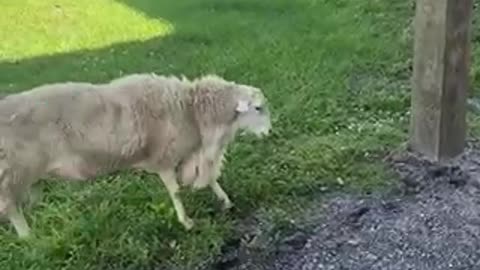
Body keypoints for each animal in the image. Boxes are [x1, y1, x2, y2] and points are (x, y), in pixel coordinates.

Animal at [0, 73, 272, 237]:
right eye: (258, 108)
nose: (269, 132)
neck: (192, 110)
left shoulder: (191, 153)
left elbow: (211, 179)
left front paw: (225, 201)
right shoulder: (164, 157)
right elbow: (176, 192)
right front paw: (186, 222)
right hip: (14, 172)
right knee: (11, 207)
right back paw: (28, 237)